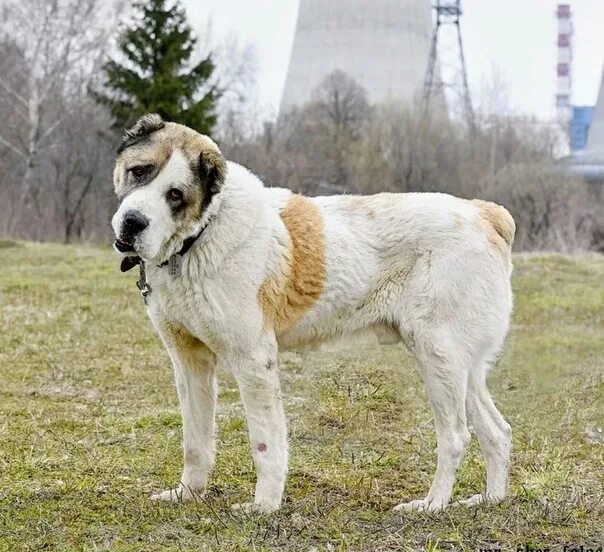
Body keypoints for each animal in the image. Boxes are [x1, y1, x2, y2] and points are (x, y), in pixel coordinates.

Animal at [111, 114, 512, 516]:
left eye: (175, 195)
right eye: (139, 171)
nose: (132, 222)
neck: (202, 234)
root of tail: (484, 213)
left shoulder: (253, 360)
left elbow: (265, 443)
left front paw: (264, 506)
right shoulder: (189, 361)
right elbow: (196, 440)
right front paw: (188, 494)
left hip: (436, 356)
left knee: (456, 435)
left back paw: (432, 504)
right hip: (461, 367)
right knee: (497, 431)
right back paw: (490, 498)